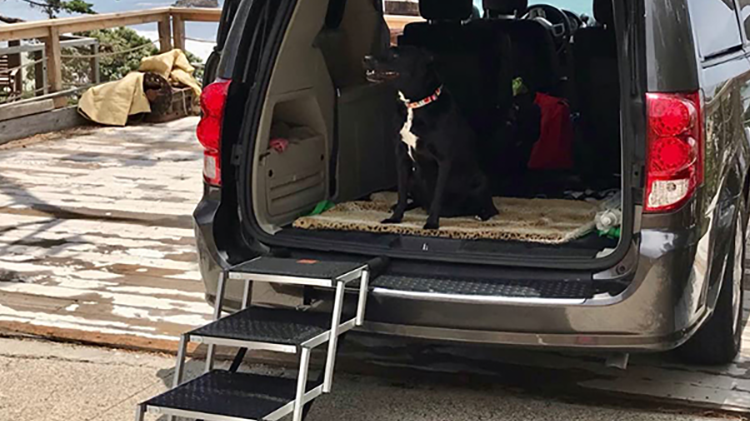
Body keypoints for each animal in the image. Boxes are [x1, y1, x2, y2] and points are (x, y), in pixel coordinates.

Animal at [364, 47, 500, 230]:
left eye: (395, 55)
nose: (366, 58)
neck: (415, 105)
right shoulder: (401, 157)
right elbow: (401, 194)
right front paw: (396, 217)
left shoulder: (443, 161)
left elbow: (437, 197)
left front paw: (432, 223)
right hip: (414, 178)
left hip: (481, 180)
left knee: (490, 208)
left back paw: (482, 214)